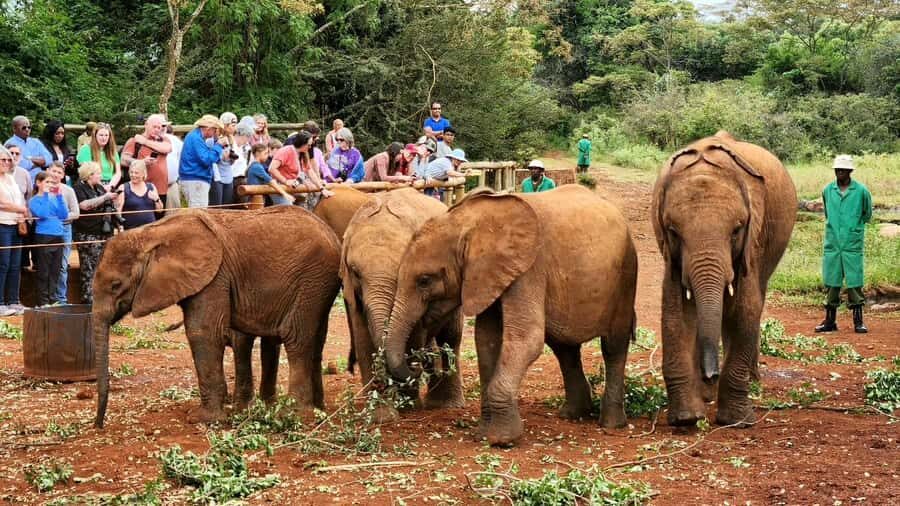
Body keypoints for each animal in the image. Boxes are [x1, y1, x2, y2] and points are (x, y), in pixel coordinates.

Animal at [93, 206, 341, 428]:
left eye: (116, 285)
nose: (99, 425)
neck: (152, 233)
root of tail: (333, 235)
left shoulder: (214, 277)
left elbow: (203, 332)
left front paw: (203, 420)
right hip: (318, 286)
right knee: (313, 341)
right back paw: (316, 410)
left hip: (312, 280)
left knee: (296, 338)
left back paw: (294, 417)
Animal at [341, 188, 464, 422]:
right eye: (355, 272)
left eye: (400, 271)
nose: (416, 367)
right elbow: (363, 339)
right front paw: (381, 417)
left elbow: (414, 335)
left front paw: (408, 407)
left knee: (451, 337)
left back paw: (445, 404)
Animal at [384, 185, 638, 446]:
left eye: (424, 280)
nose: (417, 364)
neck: (468, 222)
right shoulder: (488, 276)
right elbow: (486, 340)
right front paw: (484, 435)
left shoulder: (529, 269)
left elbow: (526, 338)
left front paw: (501, 439)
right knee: (564, 348)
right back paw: (573, 415)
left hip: (626, 273)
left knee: (613, 346)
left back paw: (611, 424)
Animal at [650, 131, 796, 427]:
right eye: (673, 232)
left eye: (737, 230)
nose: (711, 374)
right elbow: (674, 311)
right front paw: (686, 418)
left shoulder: (753, 241)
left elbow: (746, 310)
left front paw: (737, 421)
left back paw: (752, 382)